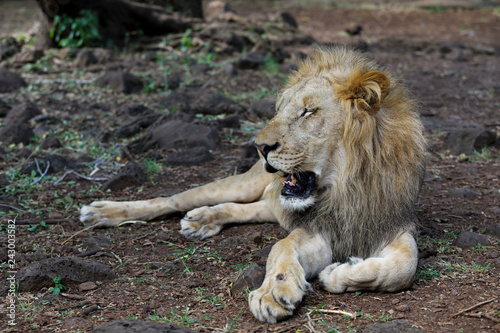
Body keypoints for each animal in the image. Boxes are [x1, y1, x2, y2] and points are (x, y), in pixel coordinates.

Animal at [79, 44, 426, 322]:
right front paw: (273, 292)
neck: (346, 188)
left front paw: (339, 273)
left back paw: (205, 219)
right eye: (279, 111)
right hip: (241, 183)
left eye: (308, 111)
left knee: (249, 208)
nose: (260, 147)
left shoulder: (390, 223)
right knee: (175, 199)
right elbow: (280, 248)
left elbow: (404, 268)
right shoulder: (314, 228)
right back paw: (103, 212)